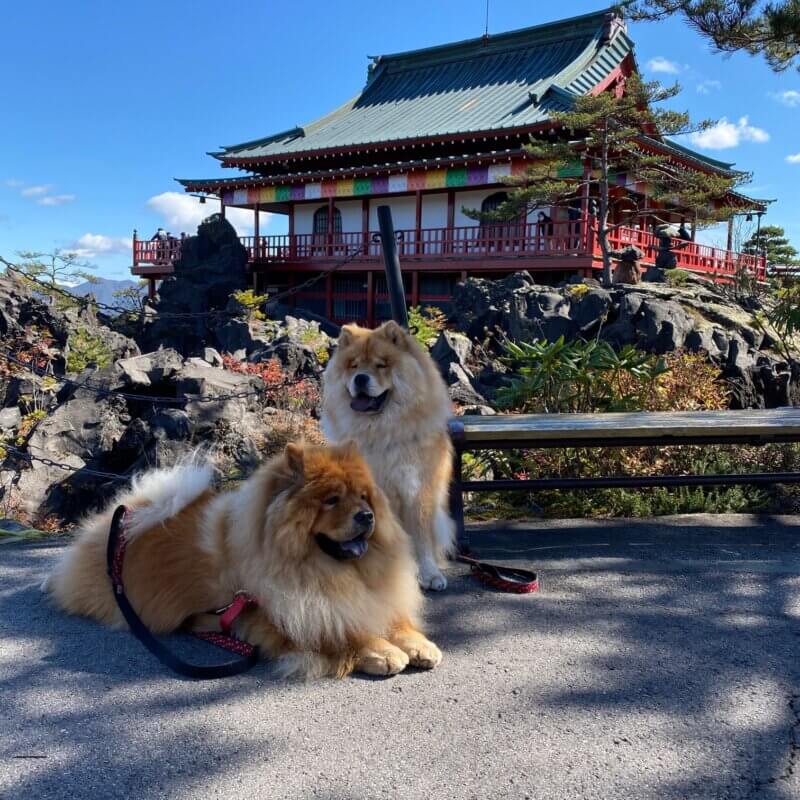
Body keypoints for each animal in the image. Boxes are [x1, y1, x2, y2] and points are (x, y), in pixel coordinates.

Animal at [42, 440, 444, 680]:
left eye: (363, 497)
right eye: (331, 500)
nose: (367, 516)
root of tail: (131, 511)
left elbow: (395, 620)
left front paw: (418, 644)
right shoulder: (282, 616)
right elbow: (346, 633)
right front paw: (383, 652)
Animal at [320, 322, 456, 592]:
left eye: (381, 365)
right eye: (353, 365)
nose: (360, 378)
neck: (381, 432)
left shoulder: (417, 489)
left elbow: (421, 538)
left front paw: (429, 574)